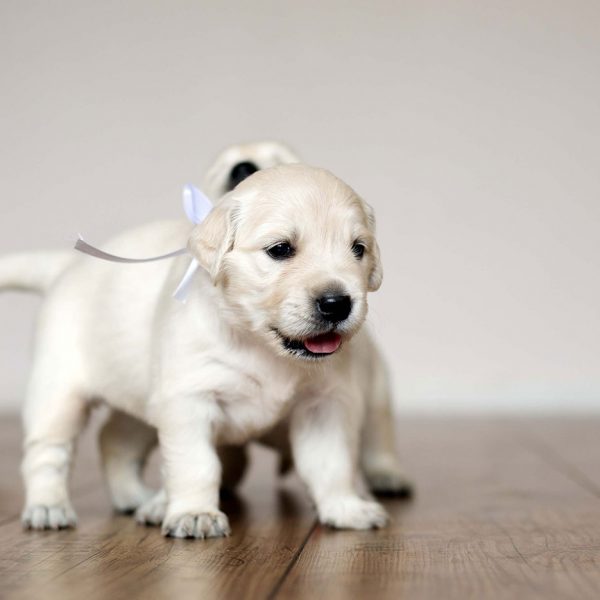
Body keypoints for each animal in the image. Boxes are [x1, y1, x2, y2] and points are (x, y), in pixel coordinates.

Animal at [0, 141, 410, 540]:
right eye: (280, 249)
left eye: (358, 249)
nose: (337, 303)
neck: (260, 344)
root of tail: (66, 265)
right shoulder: (189, 401)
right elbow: (196, 464)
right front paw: (194, 513)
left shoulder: (324, 404)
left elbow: (331, 463)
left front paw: (344, 507)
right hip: (58, 392)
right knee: (47, 452)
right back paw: (48, 507)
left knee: (114, 438)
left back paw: (134, 497)